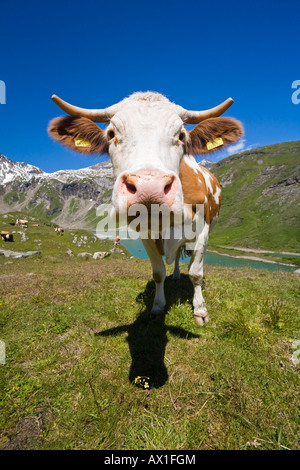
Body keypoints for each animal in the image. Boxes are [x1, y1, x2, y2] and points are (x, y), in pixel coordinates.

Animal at [48, 92, 243, 326]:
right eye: (111, 134)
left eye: (181, 135)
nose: (149, 188)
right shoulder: (146, 235)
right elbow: (158, 273)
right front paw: (158, 307)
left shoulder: (203, 231)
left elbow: (196, 273)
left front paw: (200, 310)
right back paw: (175, 276)